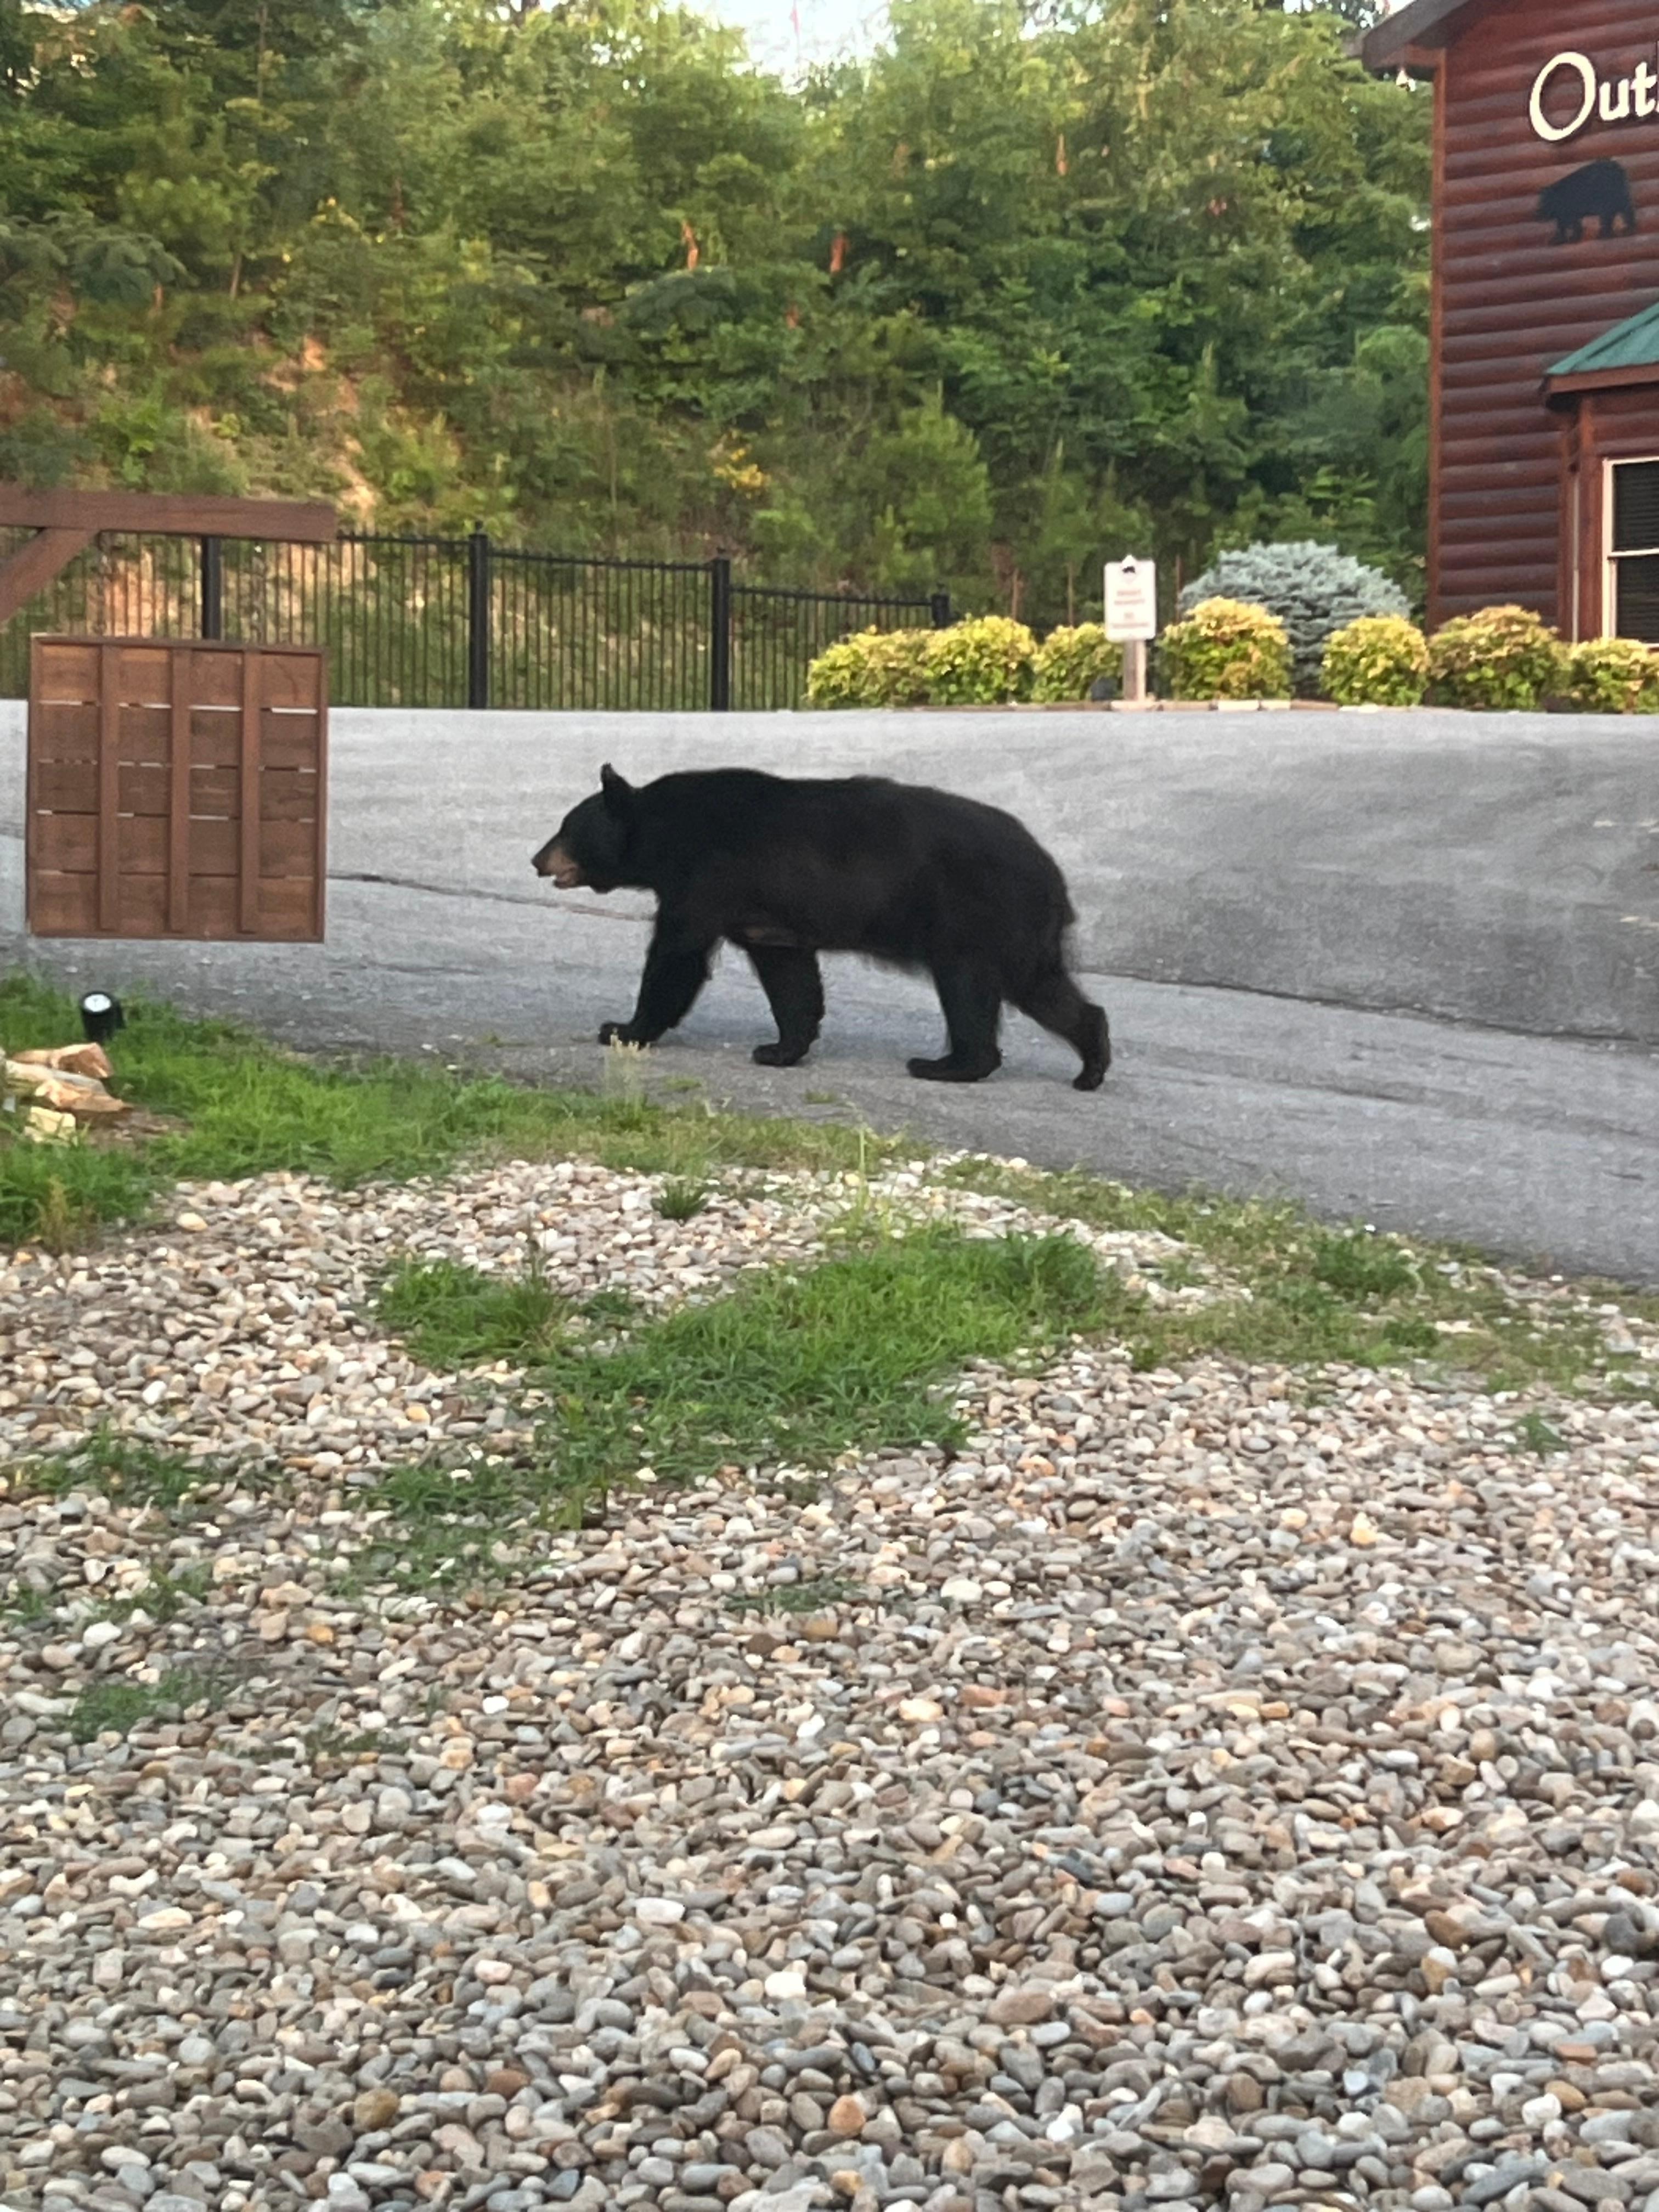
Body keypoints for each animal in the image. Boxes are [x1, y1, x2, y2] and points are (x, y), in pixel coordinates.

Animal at [531, 764, 1110, 1090]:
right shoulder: (768, 921)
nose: (537, 859)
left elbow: (677, 954)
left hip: (974, 917)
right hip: (1019, 932)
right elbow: (790, 977)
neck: (662, 834)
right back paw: (1091, 1064)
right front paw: (780, 1049)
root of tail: (1052, 871)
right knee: (1045, 989)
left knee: (967, 987)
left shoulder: (708, 877)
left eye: (565, 827)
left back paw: (946, 1064)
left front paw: (622, 1028)